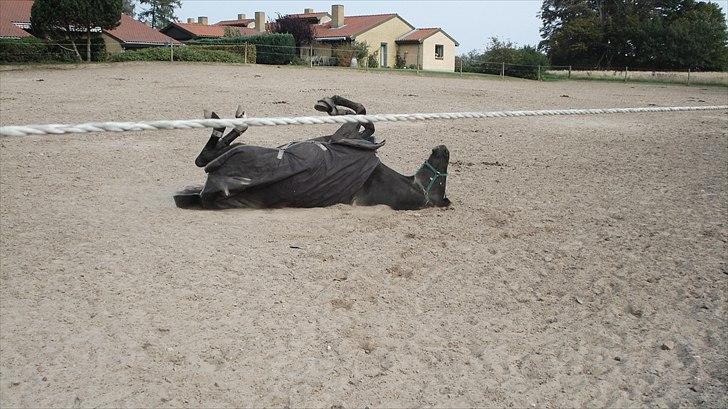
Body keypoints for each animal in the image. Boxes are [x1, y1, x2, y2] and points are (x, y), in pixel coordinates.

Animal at [176, 95, 450, 210]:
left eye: (440, 183)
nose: (444, 149)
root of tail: (206, 194)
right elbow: (364, 117)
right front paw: (333, 105)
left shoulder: (344, 137)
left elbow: (365, 119)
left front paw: (332, 105)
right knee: (204, 157)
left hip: (242, 153)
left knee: (204, 159)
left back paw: (230, 123)